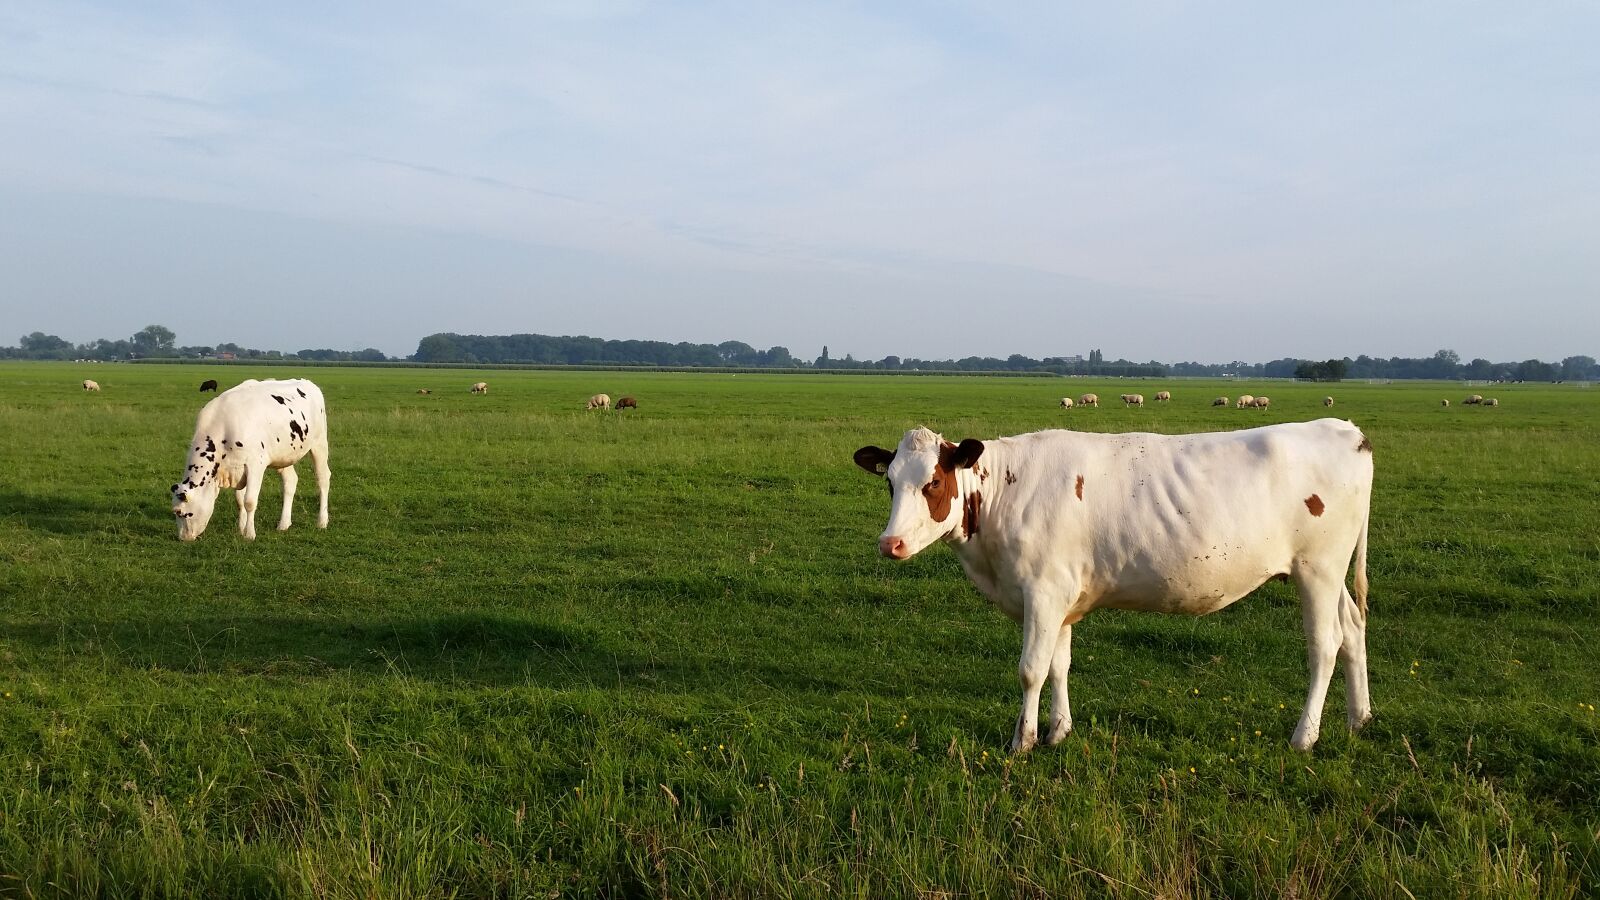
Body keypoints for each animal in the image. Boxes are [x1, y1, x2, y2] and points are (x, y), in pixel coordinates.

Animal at [170, 379, 331, 542]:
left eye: (179, 512)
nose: (183, 538)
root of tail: (308, 382)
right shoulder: (236, 467)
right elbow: (240, 500)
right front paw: (241, 529)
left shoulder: (255, 464)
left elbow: (249, 501)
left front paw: (249, 534)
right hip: (283, 456)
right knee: (290, 481)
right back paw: (284, 524)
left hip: (319, 443)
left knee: (323, 479)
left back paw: (322, 521)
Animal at [853, 420, 1373, 753]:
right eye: (890, 483)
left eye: (933, 482)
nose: (890, 543)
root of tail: (1345, 429)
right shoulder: (1061, 595)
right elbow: (1059, 664)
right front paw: (1058, 731)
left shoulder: (1042, 593)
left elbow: (1031, 670)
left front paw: (1022, 741)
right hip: (1331, 574)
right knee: (1352, 629)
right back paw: (1359, 718)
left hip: (1318, 569)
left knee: (1325, 645)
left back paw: (1305, 736)